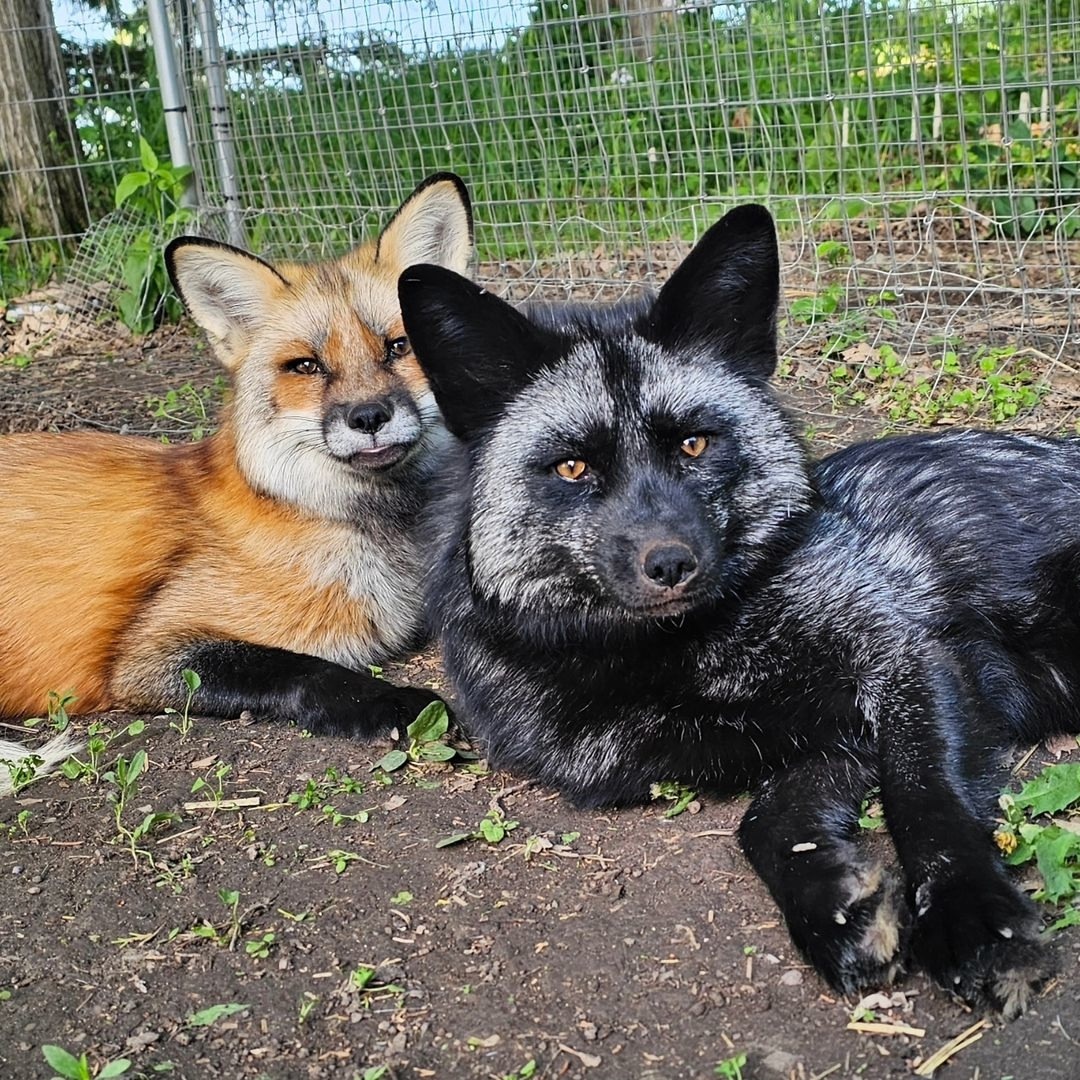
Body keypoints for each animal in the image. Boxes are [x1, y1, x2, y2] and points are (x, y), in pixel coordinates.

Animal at [0, 170, 473, 786]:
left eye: (399, 347)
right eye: (306, 366)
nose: (369, 417)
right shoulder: (148, 654)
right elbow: (304, 670)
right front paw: (396, 703)